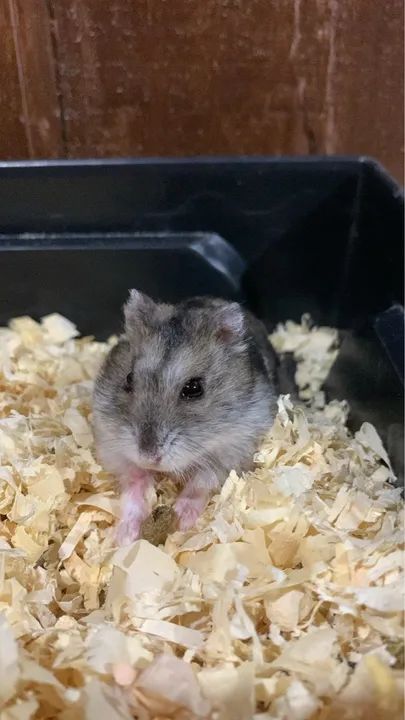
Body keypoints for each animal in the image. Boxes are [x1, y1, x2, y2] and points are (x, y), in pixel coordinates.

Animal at [93, 290, 278, 545]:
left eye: (194, 388)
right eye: (129, 379)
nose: (148, 456)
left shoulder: (236, 450)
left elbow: (201, 482)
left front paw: (180, 520)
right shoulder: (111, 444)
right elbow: (135, 480)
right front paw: (126, 537)